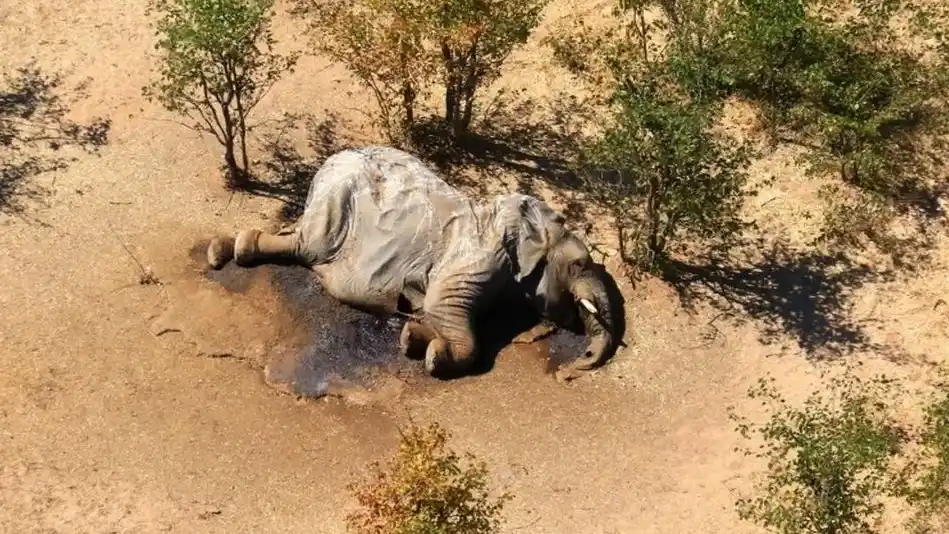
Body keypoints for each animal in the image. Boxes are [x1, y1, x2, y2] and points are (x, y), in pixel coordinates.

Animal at [206, 146, 621, 380]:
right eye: (580, 264)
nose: (568, 372)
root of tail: (331, 160)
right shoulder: (478, 257)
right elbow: (444, 307)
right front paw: (433, 355)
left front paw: (413, 338)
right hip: (337, 200)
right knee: (308, 246)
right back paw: (229, 251)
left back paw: (224, 250)